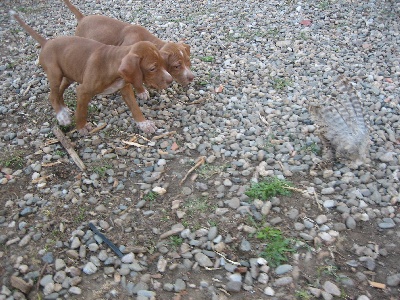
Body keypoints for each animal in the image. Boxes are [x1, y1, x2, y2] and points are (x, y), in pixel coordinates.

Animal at [11, 10, 171, 135]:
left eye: (163, 63)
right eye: (152, 68)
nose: (170, 80)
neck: (111, 65)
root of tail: (47, 42)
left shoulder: (125, 88)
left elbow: (135, 108)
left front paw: (144, 124)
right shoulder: (83, 91)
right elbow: (81, 111)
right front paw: (81, 127)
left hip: (70, 72)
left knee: (60, 90)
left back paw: (64, 109)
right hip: (55, 73)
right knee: (52, 95)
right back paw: (62, 116)